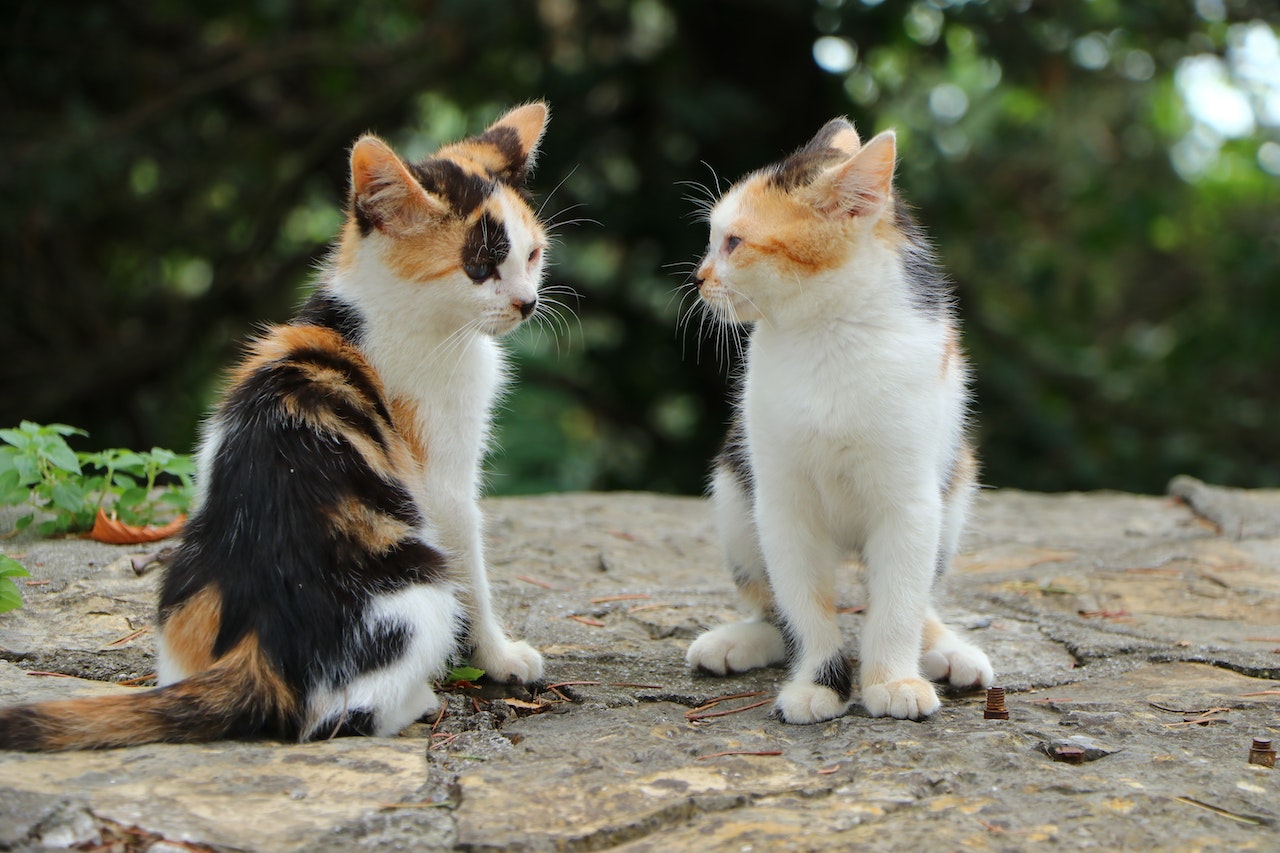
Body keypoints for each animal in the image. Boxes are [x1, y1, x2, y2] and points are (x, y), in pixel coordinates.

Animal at [2, 103, 558, 747]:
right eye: (479, 267)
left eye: (532, 256)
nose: (526, 302)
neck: (384, 315)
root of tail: (256, 655)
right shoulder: (442, 482)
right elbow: (473, 563)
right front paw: (501, 656)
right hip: (418, 583)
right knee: (334, 715)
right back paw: (415, 700)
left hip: (181, 576)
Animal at [686, 116, 993, 722]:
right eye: (712, 239)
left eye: (733, 242)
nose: (699, 278)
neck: (826, 332)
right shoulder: (781, 501)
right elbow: (803, 605)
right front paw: (819, 683)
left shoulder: (912, 502)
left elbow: (898, 600)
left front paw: (893, 680)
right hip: (733, 489)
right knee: (769, 602)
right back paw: (742, 640)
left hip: (956, 484)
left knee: (920, 593)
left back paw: (947, 650)